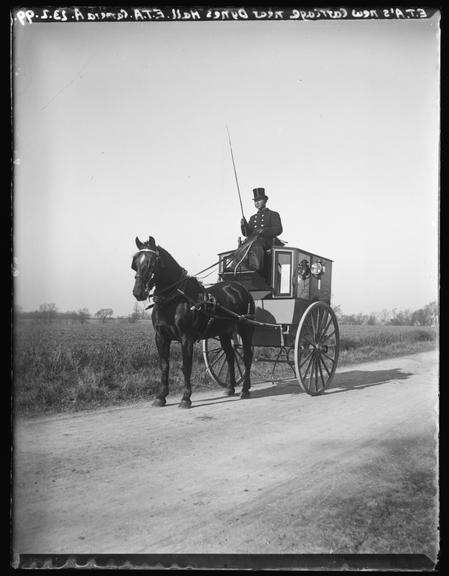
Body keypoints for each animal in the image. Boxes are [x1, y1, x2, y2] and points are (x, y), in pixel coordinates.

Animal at [131, 236, 254, 408]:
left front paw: (186, 398)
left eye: (152, 263)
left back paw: (245, 390)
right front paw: (161, 396)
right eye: (135, 263)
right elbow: (164, 365)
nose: (138, 292)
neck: (174, 299)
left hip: (245, 328)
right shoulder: (161, 337)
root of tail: (239, 287)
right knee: (230, 356)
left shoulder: (186, 338)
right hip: (224, 332)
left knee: (247, 356)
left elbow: (186, 366)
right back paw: (230, 387)